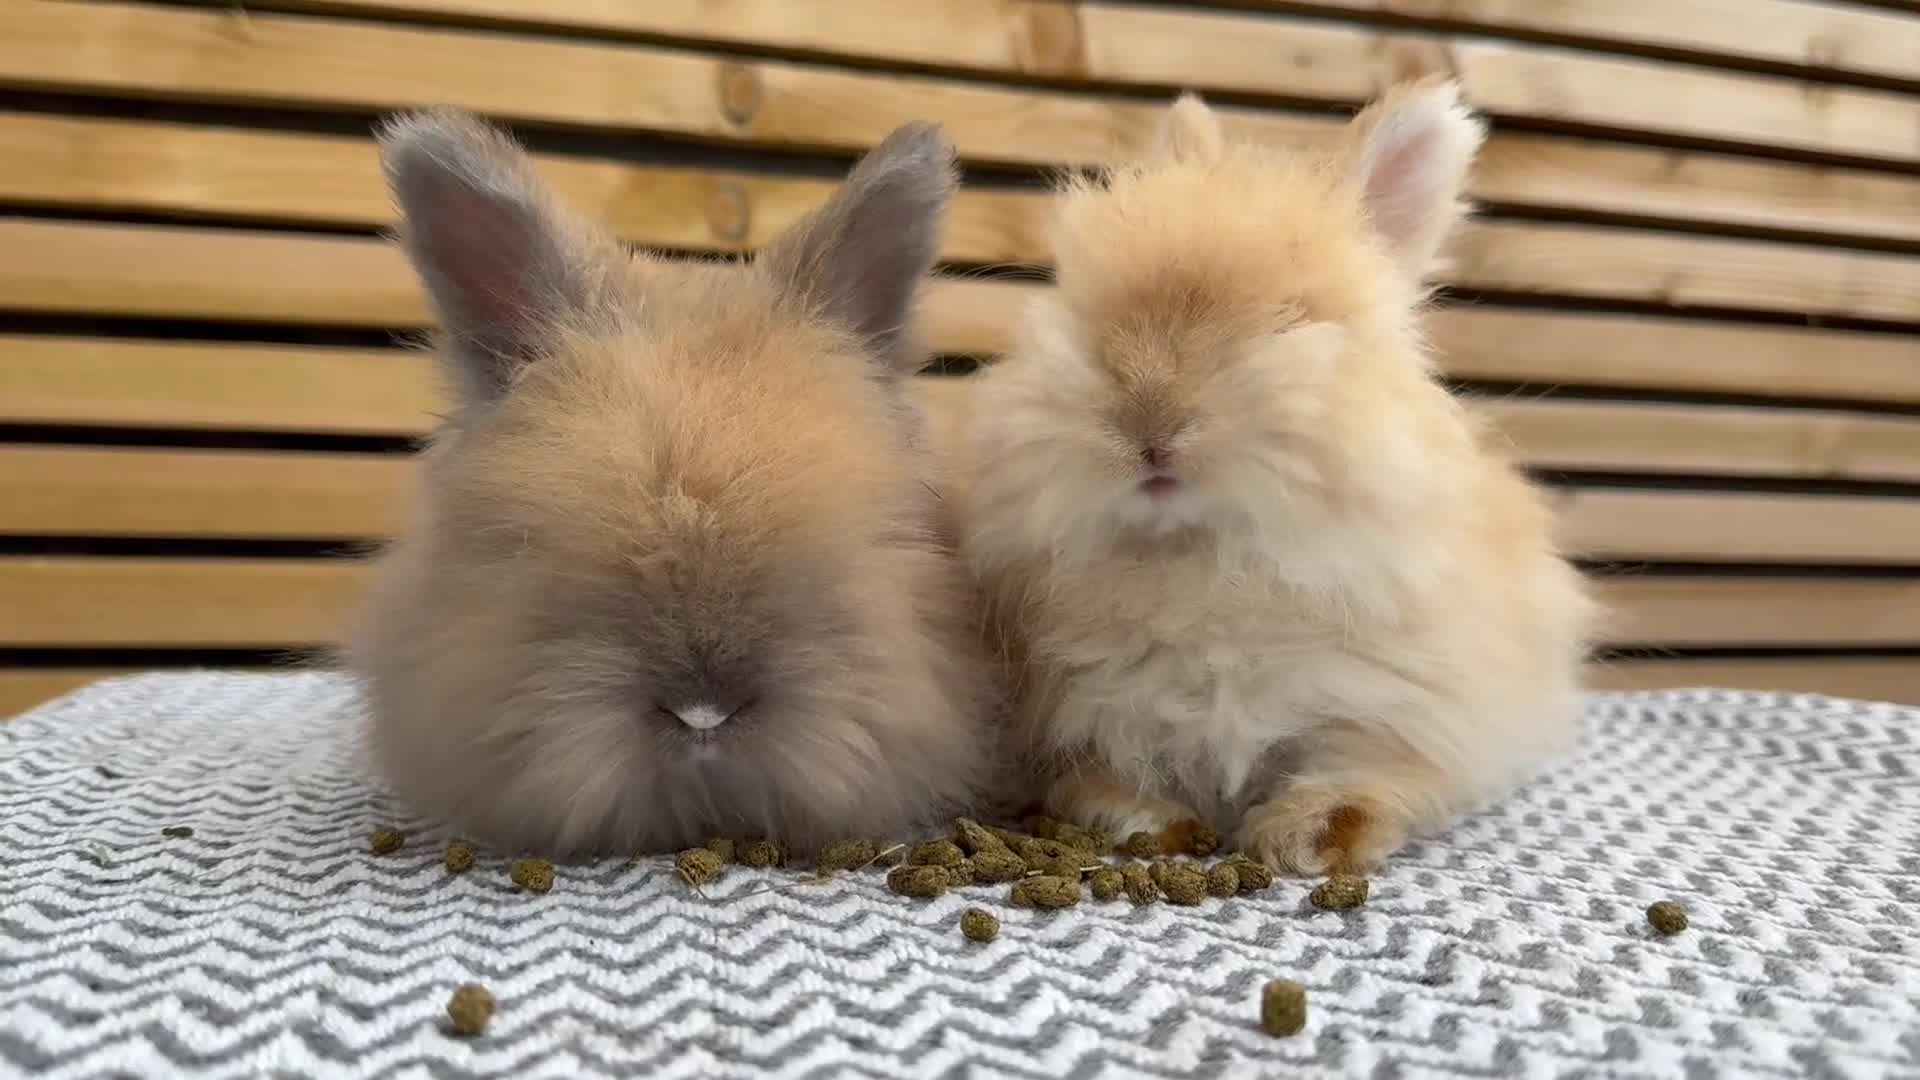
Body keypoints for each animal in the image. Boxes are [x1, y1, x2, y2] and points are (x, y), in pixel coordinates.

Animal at [953, 79, 1595, 875]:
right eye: (1075, 306)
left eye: (1291, 319)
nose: (1148, 418)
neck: (1205, 566)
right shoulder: (1076, 716)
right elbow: (1102, 780)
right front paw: (1146, 822)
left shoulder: (1403, 707)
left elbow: (1365, 774)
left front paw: (1309, 835)